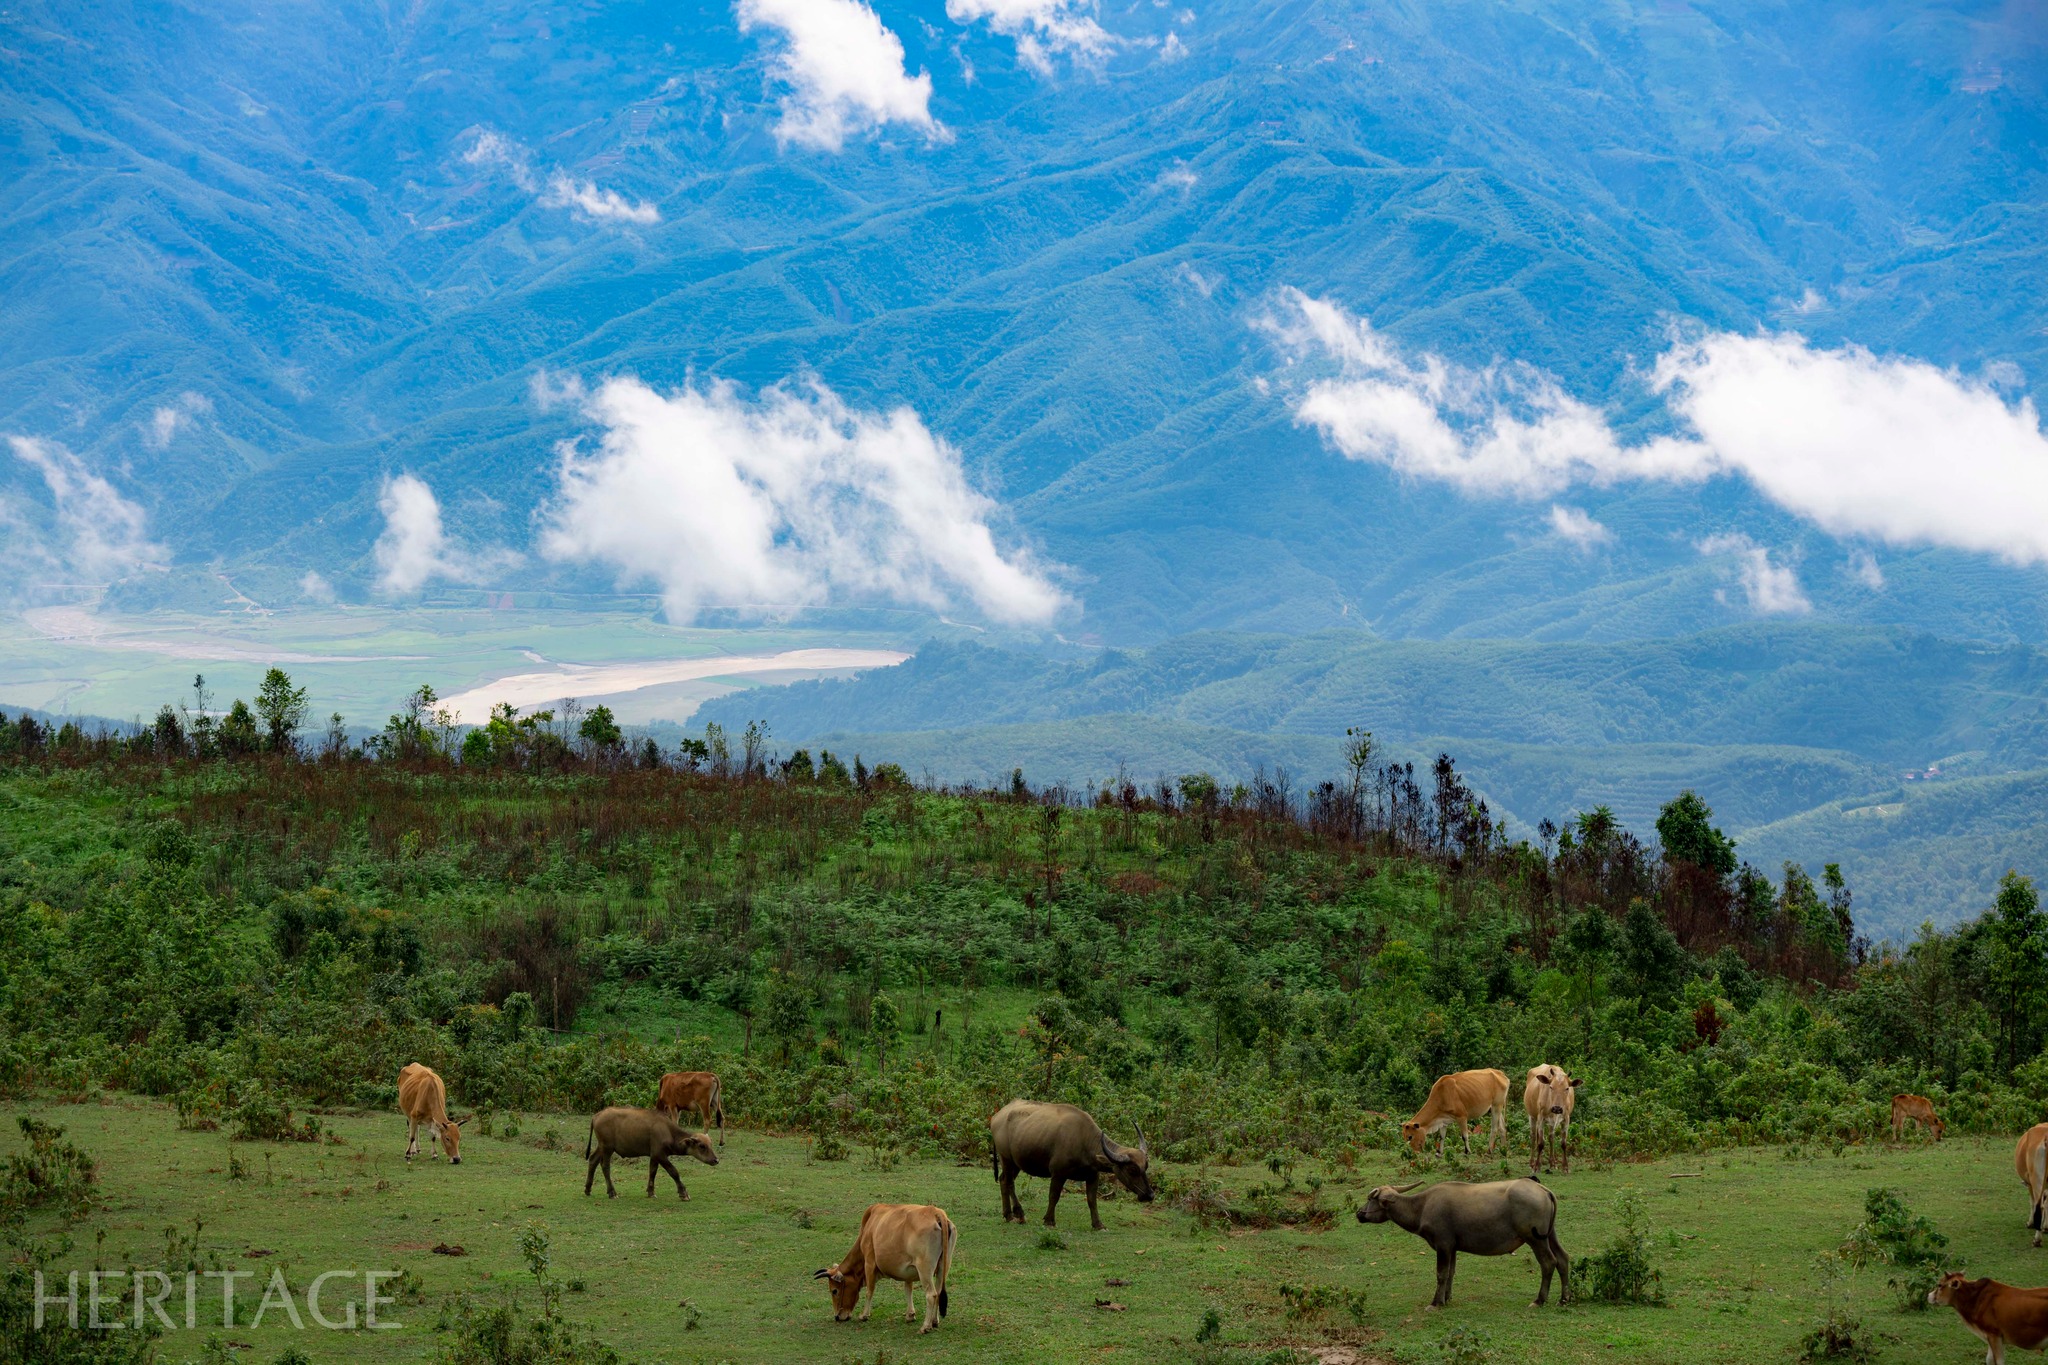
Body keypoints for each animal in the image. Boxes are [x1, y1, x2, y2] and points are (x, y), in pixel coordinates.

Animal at [585, 1105, 720, 1203]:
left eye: (710, 1144)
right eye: (702, 1146)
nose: (715, 1160)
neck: (668, 1131)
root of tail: (596, 1116)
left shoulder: (654, 1156)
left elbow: (652, 1172)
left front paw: (651, 1192)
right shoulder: (660, 1155)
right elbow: (674, 1172)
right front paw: (683, 1193)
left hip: (601, 1146)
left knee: (593, 1160)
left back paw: (588, 1189)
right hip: (607, 1148)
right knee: (605, 1166)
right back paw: (612, 1193)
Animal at [811, 1203, 954, 1334]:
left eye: (834, 1291)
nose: (837, 1316)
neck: (868, 1227)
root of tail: (935, 1212)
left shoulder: (869, 1263)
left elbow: (869, 1291)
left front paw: (864, 1315)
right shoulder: (909, 1270)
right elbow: (908, 1289)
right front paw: (910, 1315)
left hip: (924, 1269)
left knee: (931, 1295)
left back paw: (925, 1326)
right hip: (943, 1267)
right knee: (939, 1292)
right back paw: (934, 1321)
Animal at [987, 1105, 1155, 1236]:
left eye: (1145, 1166)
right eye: (1132, 1169)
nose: (1149, 1195)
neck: (1084, 1141)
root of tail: (998, 1116)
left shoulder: (1093, 1176)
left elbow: (1092, 1200)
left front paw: (1098, 1225)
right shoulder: (1058, 1174)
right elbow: (1054, 1196)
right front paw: (1049, 1221)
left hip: (1016, 1163)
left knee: (1003, 1180)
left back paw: (1011, 1214)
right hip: (1007, 1159)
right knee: (1008, 1182)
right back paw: (1015, 1214)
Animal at [1359, 1178, 1564, 1309]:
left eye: (1370, 1199)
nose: (1359, 1213)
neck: (1422, 1207)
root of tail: (1543, 1189)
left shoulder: (1442, 1245)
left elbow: (1441, 1274)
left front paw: (1436, 1303)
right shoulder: (1452, 1248)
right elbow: (1451, 1273)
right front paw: (1447, 1298)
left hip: (1535, 1239)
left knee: (1549, 1263)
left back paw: (1539, 1300)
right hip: (1550, 1235)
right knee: (1563, 1259)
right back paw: (1564, 1298)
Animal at [2015, 1121, 2048, 1252]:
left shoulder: (2030, 1184)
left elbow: (2032, 1202)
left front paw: (2031, 1223)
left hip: (2036, 1180)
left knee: (2040, 1206)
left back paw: (2037, 1240)